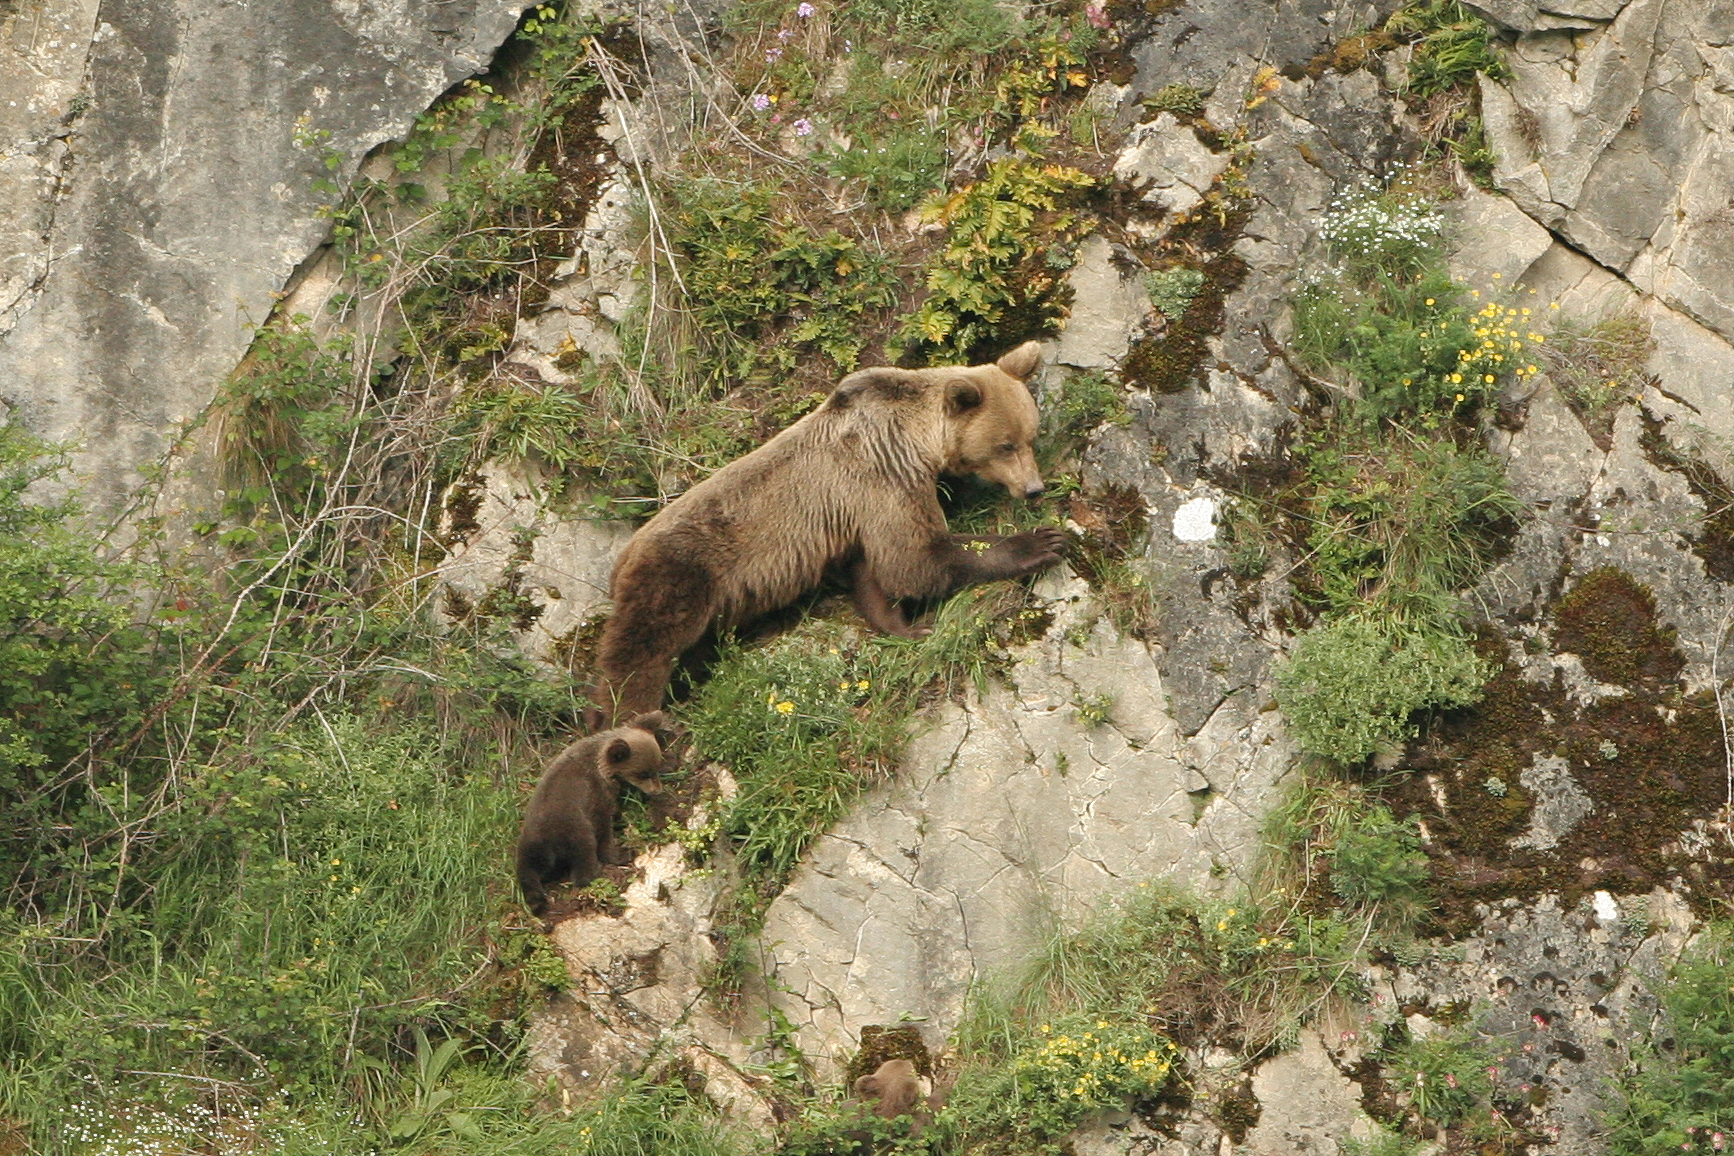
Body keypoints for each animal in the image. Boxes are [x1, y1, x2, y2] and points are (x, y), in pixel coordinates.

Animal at [509, 710, 665, 915]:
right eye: (643, 774)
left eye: (657, 767)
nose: (657, 791)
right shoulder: (595, 795)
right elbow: (604, 826)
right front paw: (618, 850)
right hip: (573, 828)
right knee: (583, 854)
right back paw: (597, 871)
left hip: (531, 844)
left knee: (529, 868)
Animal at [589, 341, 1061, 724]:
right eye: (1005, 445)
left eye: (1030, 435)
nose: (1034, 488)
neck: (917, 438)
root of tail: (621, 558)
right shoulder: (883, 473)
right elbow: (913, 559)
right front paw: (1041, 542)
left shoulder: (861, 509)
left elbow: (875, 570)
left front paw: (903, 626)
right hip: (677, 575)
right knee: (640, 652)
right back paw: (631, 721)